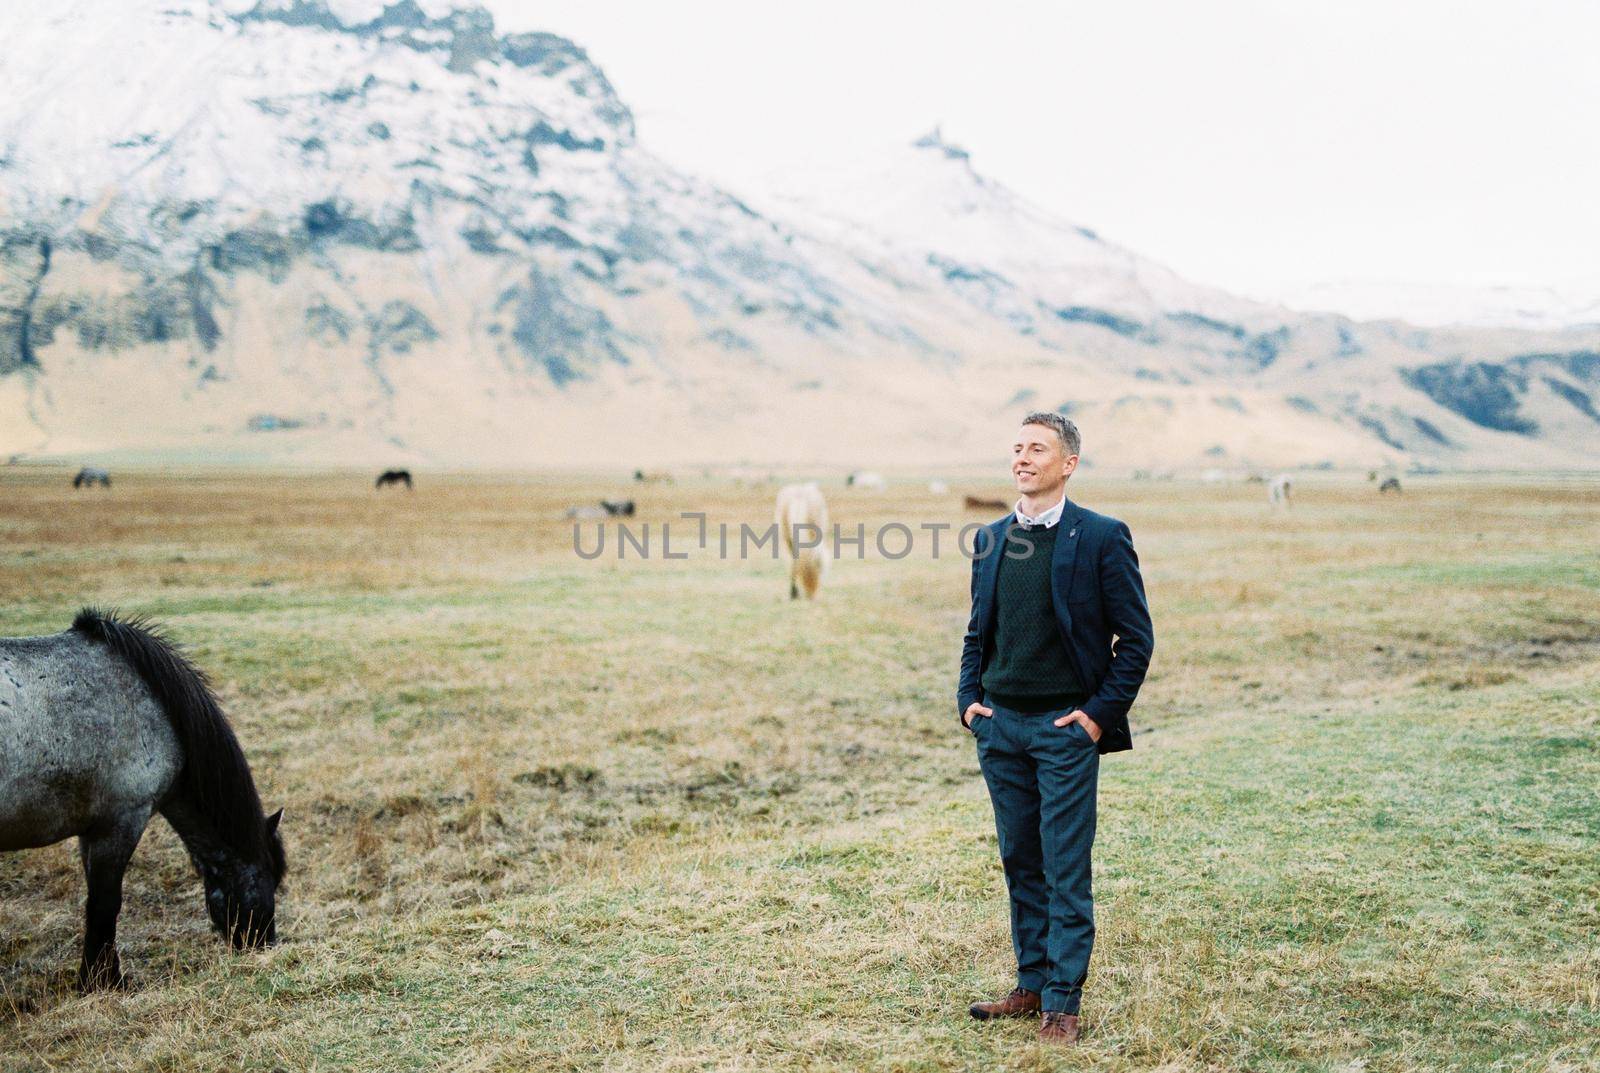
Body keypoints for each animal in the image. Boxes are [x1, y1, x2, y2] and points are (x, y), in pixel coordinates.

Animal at [0, 614, 284, 991]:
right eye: (270, 878)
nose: (265, 947)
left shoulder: (93, 830)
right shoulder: (122, 821)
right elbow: (105, 905)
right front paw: (102, 982)